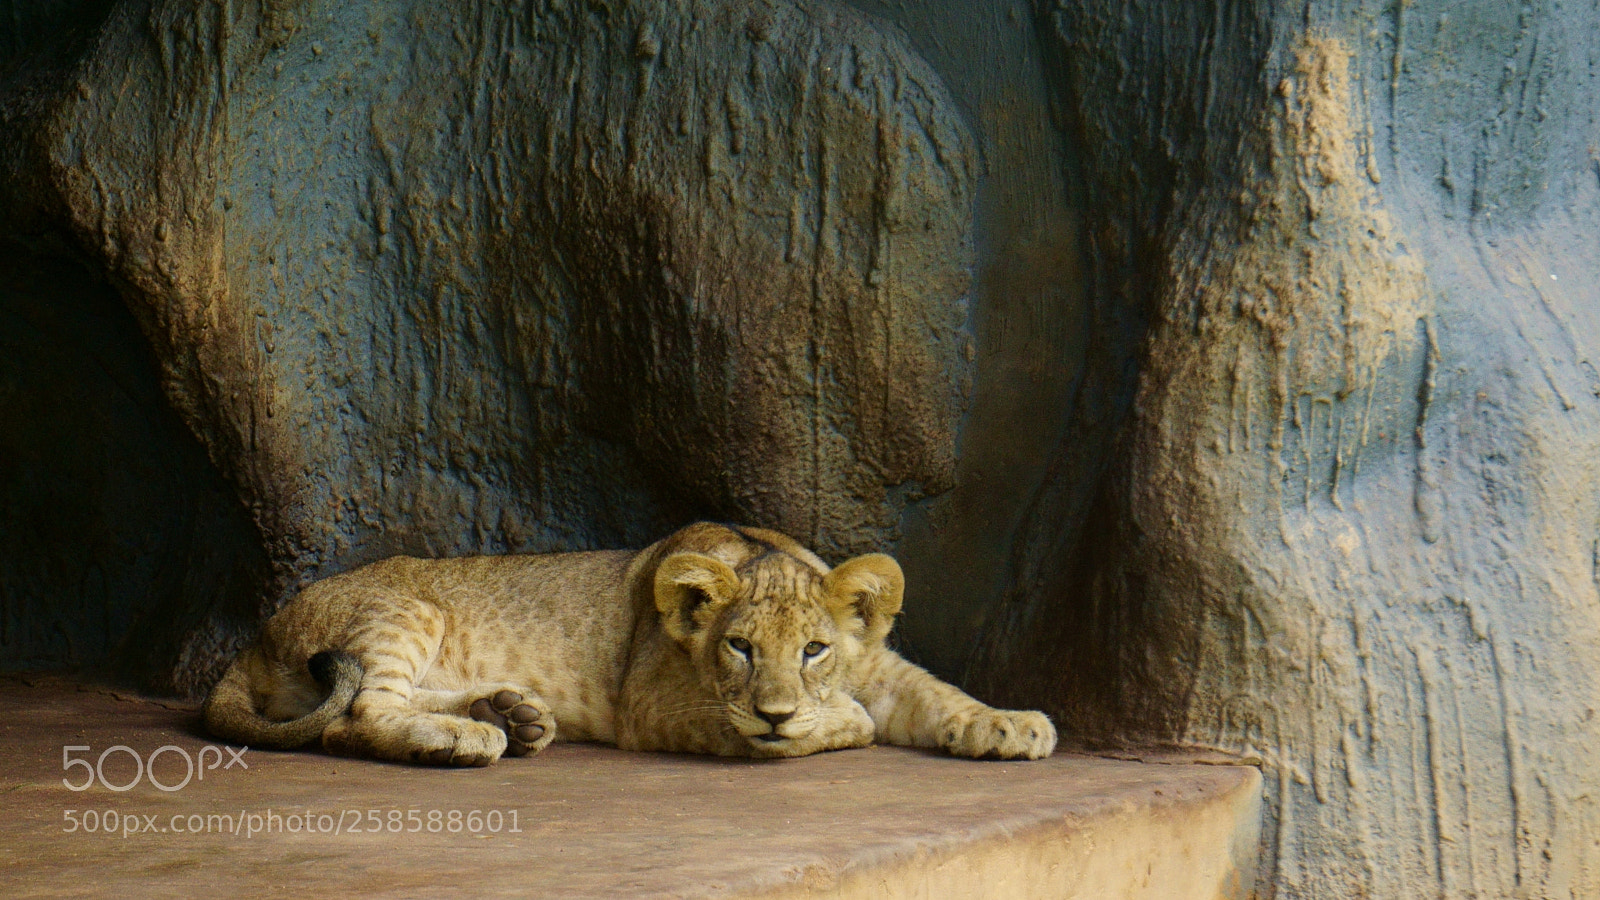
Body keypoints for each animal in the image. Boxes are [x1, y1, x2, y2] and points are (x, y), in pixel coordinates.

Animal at [202, 523, 1056, 765]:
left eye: (814, 649)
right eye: (740, 648)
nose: (778, 712)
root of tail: (256, 634)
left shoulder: (878, 663)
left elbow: (937, 694)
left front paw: (1013, 724)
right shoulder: (650, 707)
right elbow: (848, 723)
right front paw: (836, 721)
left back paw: (511, 713)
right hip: (401, 609)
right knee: (357, 715)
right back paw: (467, 736)